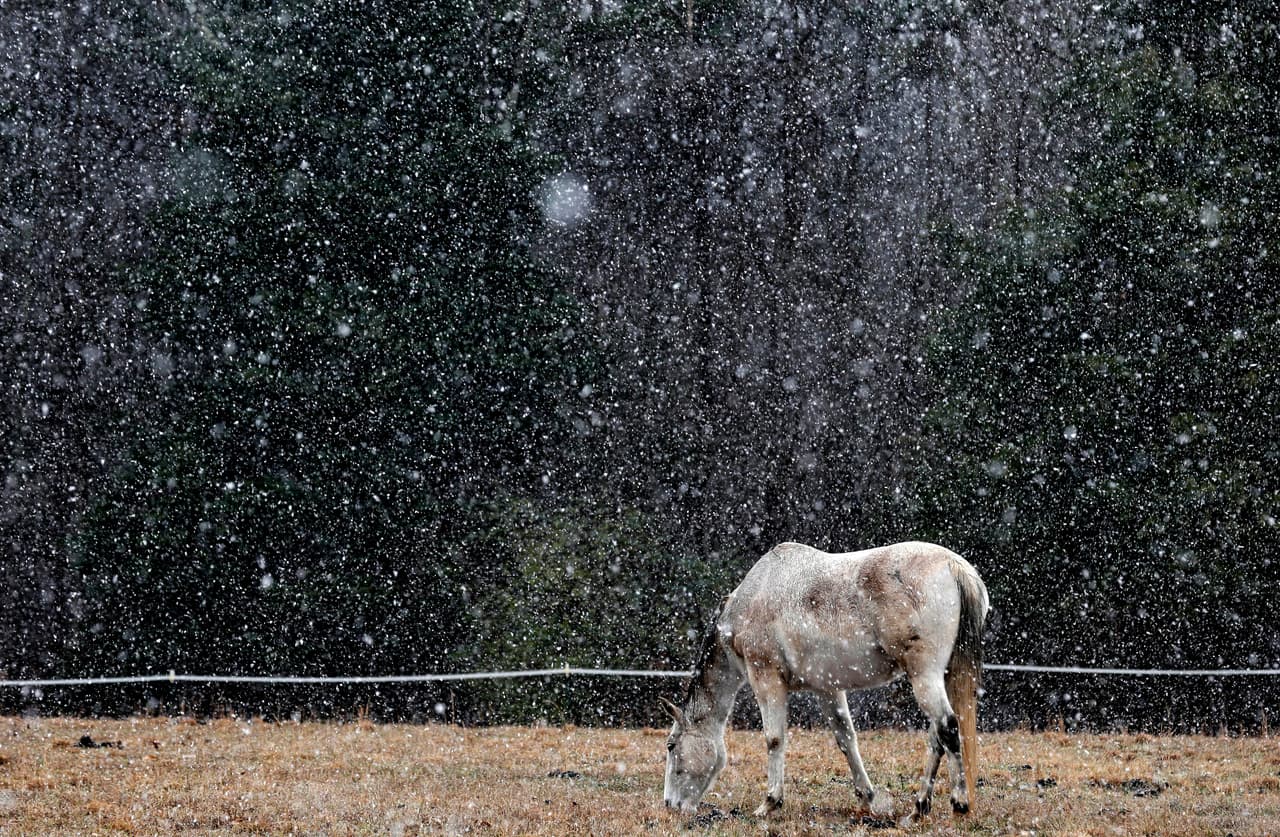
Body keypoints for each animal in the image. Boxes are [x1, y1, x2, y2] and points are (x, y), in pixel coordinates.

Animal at [660, 541, 989, 824]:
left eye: (671, 745)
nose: (670, 805)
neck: (752, 599)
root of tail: (954, 566)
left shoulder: (766, 679)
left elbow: (774, 739)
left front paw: (770, 803)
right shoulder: (827, 688)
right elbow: (846, 739)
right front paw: (868, 798)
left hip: (925, 676)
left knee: (947, 727)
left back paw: (959, 802)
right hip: (940, 676)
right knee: (937, 736)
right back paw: (919, 807)